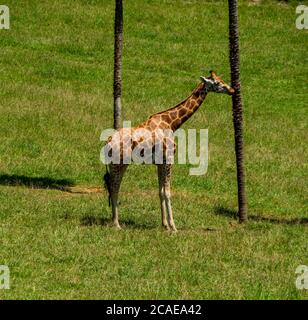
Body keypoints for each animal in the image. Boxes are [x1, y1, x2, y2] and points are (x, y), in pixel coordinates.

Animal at [102, 70, 235, 230]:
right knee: (114, 187)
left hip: (116, 164)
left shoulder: (160, 163)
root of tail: (108, 142)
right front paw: (173, 227)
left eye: (221, 79)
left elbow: (160, 192)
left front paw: (164, 224)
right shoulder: (169, 159)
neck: (172, 123)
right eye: (217, 83)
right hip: (119, 163)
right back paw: (116, 224)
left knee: (112, 186)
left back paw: (114, 221)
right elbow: (168, 192)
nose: (232, 90)